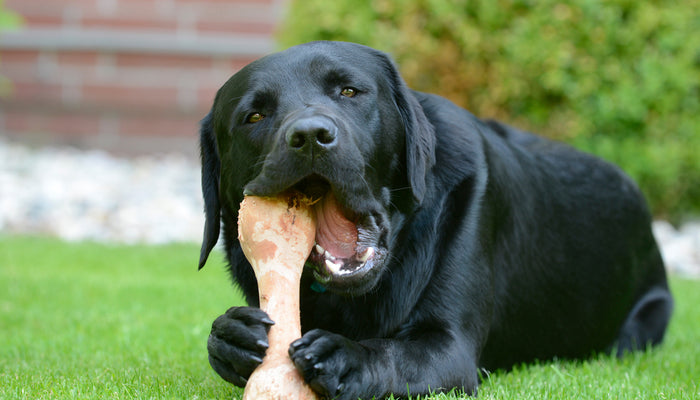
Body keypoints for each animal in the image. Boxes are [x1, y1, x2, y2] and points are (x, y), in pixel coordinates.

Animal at [198, 39, 672, 396]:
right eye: (254, 115)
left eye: (349, 92)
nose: (310, 135)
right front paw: (232, 335)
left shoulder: (449, 347)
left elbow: (390, 352)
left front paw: (346, 356)